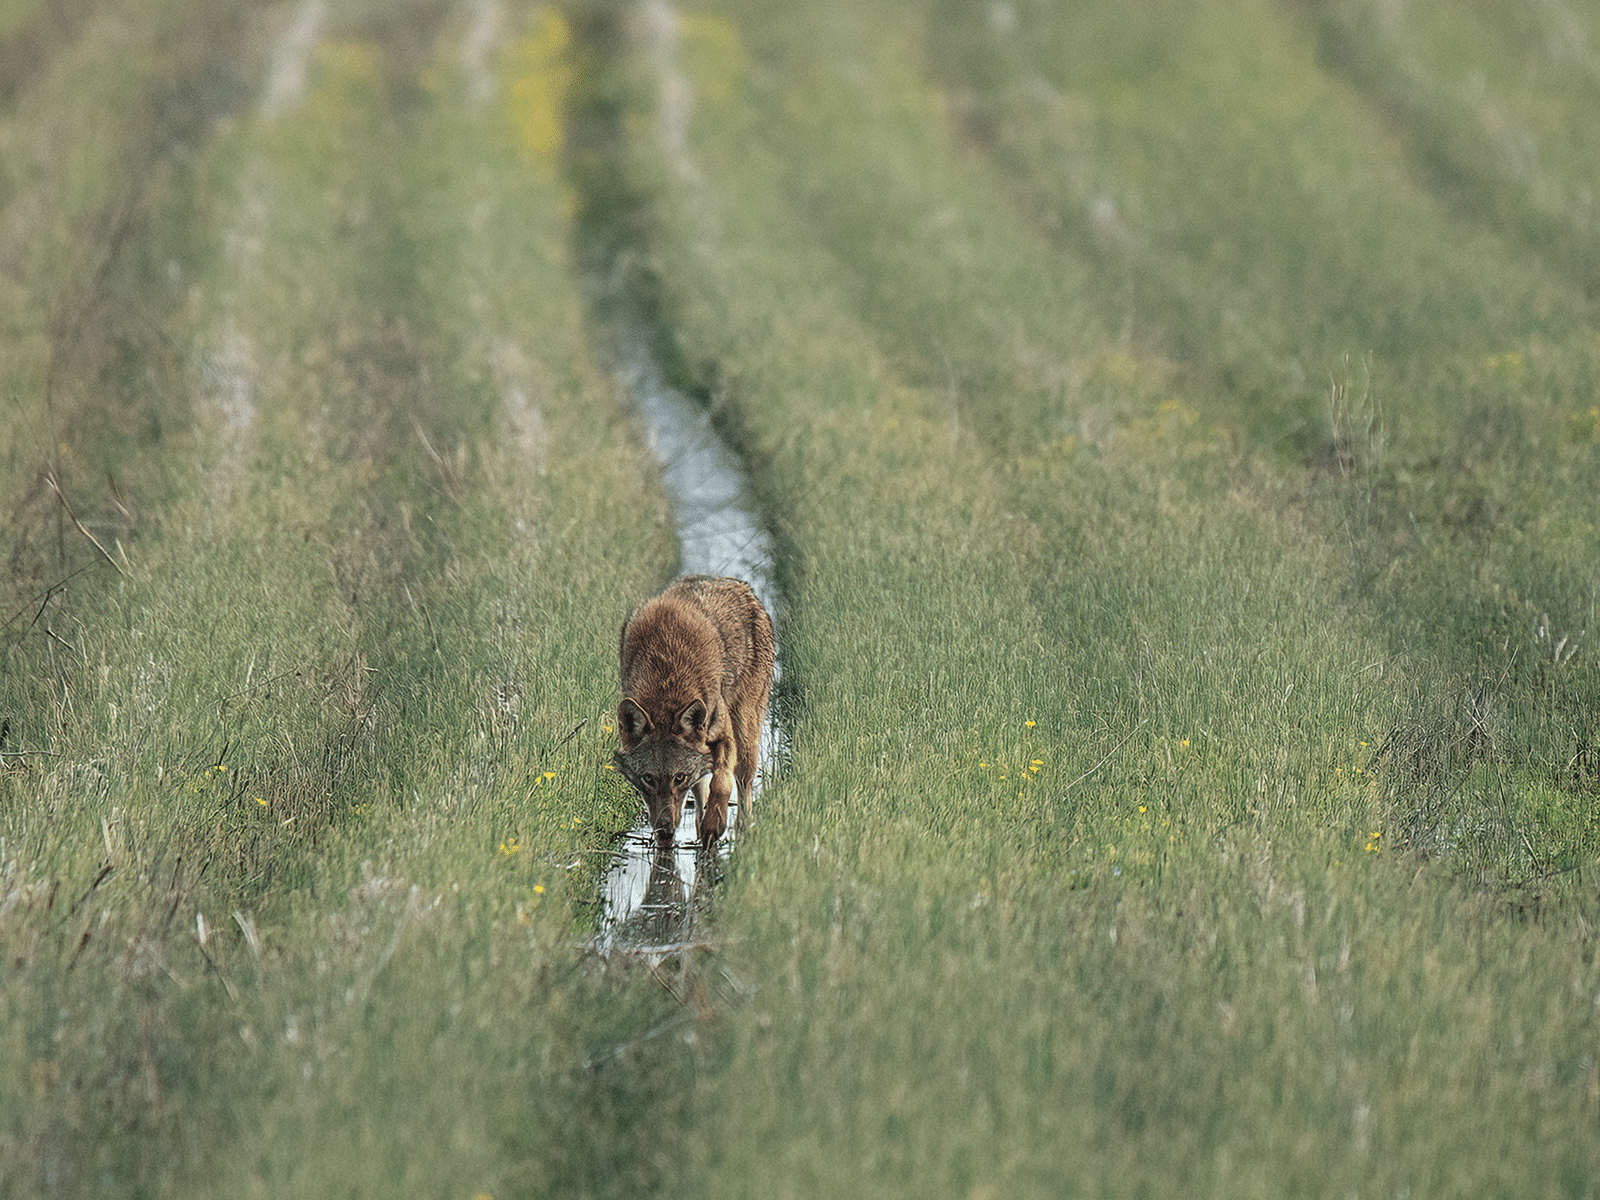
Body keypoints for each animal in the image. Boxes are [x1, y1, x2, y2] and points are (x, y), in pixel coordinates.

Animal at [614, 575, 775, 849]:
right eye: (648, 778)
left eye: (679, 778)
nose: (665, 830)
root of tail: (743, 587)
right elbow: (707, 787)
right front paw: (705, 828)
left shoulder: (724, 738)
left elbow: (722, 782)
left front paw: (715, 826)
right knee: (701, 789)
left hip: (746, 735)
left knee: (743, 782)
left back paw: (742, 829)